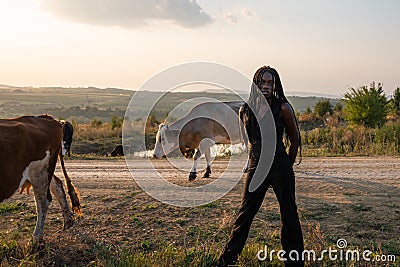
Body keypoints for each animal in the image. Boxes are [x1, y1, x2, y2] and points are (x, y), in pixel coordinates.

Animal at [0, 114, 81, 244]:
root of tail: (46, 118)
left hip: (40, 172)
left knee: (43, 202)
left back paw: (36, 239)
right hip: (46, 171)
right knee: (57, 185)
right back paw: (68, 221)